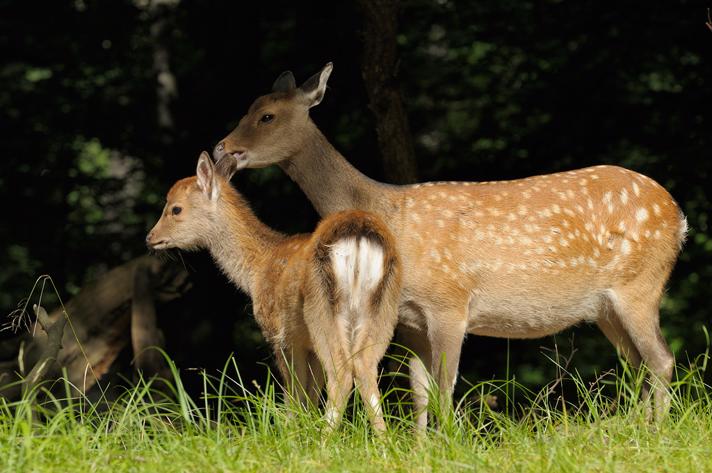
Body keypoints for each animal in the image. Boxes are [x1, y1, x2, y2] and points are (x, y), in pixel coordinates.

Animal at [146, 152, 400, 432]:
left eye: (175, 208)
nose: (150, 237)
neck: (257, 269)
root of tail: (358, 234)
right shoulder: (306, 343)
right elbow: (310, 394)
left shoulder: (280, 334)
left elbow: (294, 394)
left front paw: (292, 430)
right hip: (385, 306)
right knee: (365, 368)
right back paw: (381, 438)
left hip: (320, 306)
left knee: (342, 371)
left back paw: (326, 437)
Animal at [214, 63, 688, 424]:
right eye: (248, 108)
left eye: (267, 116)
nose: (222, 147)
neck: (390, 213)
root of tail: (678, 216)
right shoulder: (411, 320)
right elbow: (419, 393)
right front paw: (423, 448)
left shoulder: (450, 303)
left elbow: (445, 389)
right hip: (605, 306)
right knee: (638, 364)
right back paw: (636, 427)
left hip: (640, 285)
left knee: (661, 359)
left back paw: (658, 431)